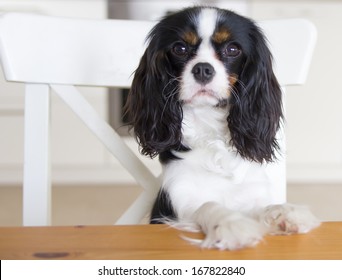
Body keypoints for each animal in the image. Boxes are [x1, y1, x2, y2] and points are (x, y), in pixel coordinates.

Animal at [125, 6, 320, 249]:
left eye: (232, 49)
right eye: (179, 48)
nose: (203, 69)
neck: (210, 131)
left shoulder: (249, 194)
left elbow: (260, 208)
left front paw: (284, 212)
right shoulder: (178, 204)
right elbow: (208, 205)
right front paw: (231, 224)